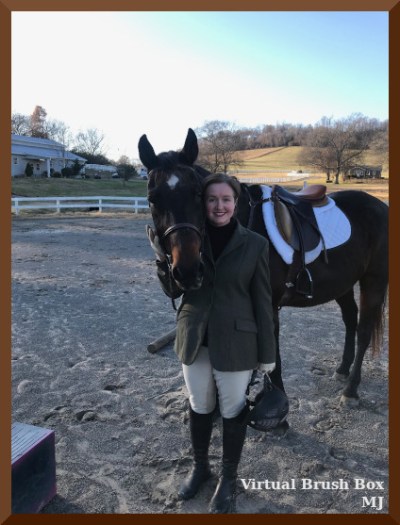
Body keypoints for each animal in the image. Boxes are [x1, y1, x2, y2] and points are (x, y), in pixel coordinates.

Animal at [138, 128, 388, 406]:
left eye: (197, 193)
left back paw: (351, 390)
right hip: (343, 283)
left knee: (364, 330)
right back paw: (343, 370)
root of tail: (380, 206)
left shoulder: (268, 305)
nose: (189, 271)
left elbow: (274, 358)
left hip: (374, 280)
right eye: (152, 199)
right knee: (350, 319)